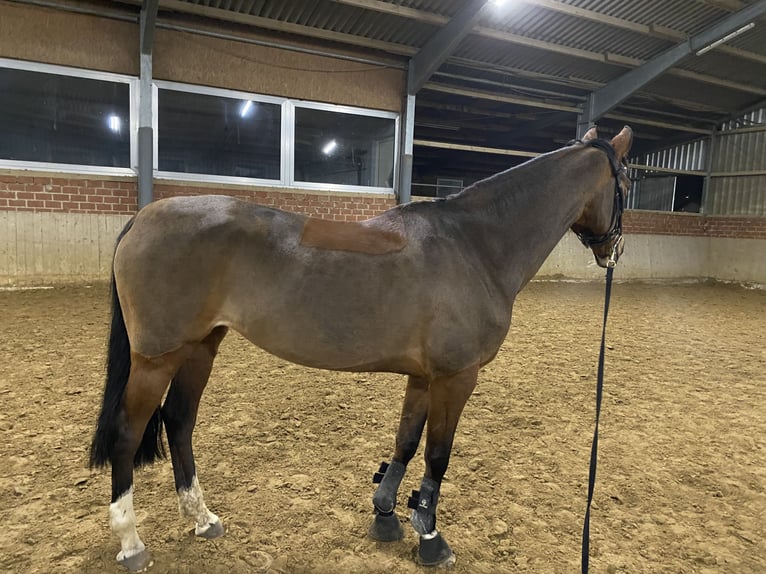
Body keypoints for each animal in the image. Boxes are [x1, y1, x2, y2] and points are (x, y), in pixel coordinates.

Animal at [89, 125, 632, 570]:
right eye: (626, 180)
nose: (614, 250)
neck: (474, 245)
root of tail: (141, 218)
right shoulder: (456, 377)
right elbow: (437, 456)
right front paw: (431, 539)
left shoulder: (423, 377)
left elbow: (406, 443)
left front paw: (387, 516)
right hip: (156, 358)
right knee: (128, 433)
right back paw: (132, 543)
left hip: (200, 348)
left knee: (179, 422)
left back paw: (202, 519)